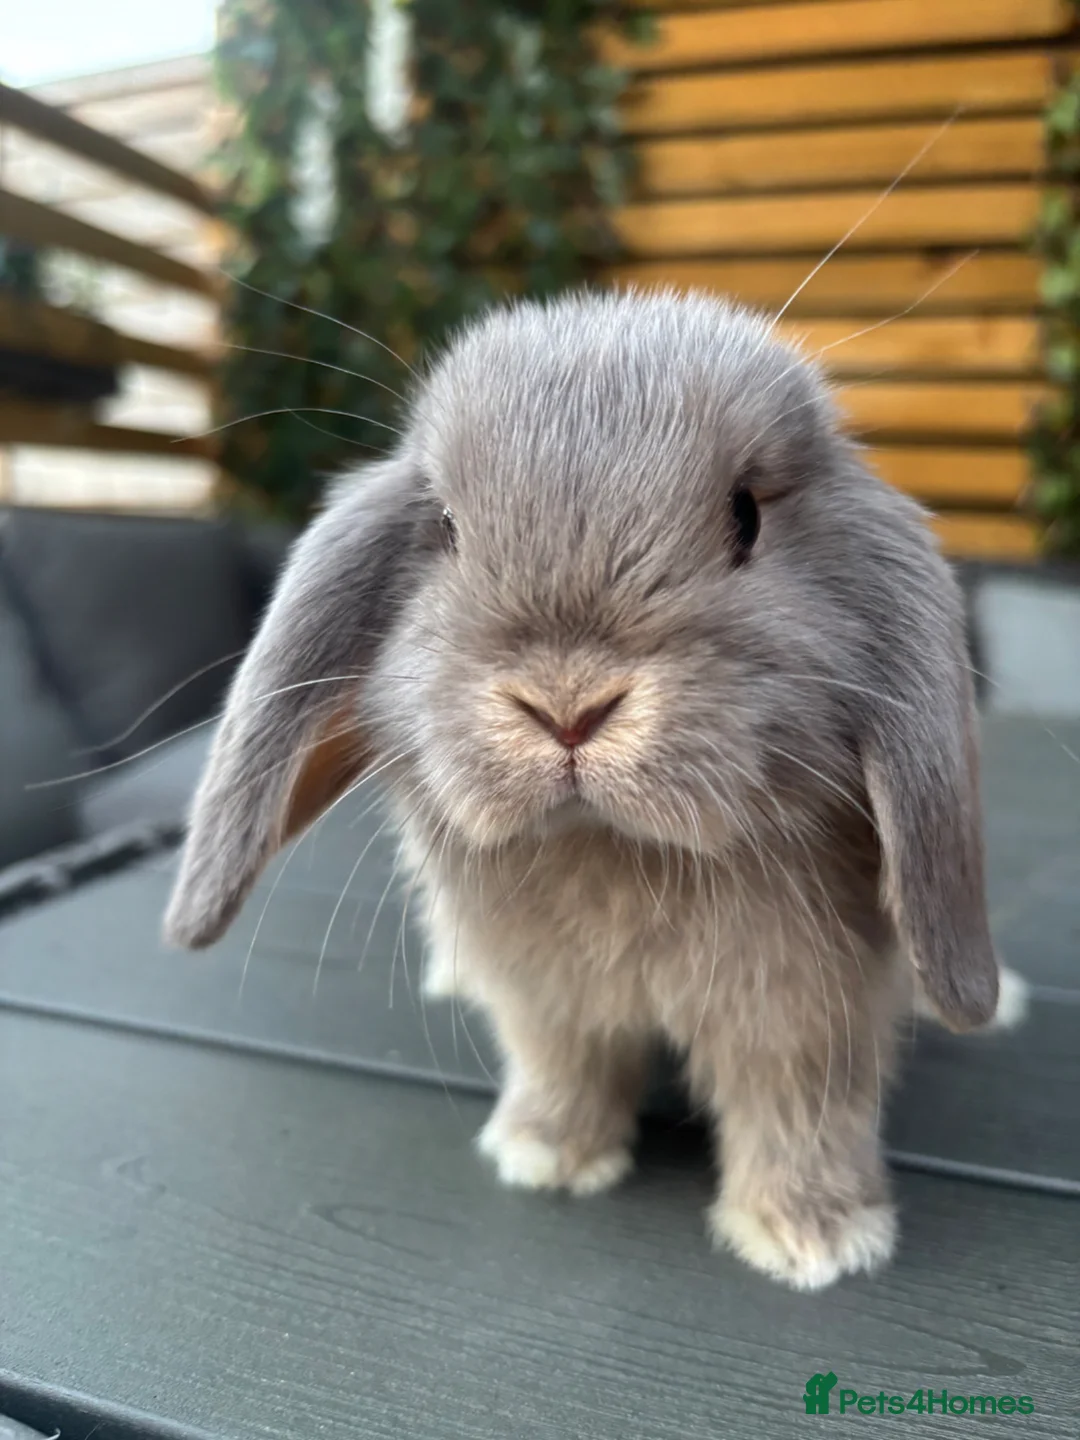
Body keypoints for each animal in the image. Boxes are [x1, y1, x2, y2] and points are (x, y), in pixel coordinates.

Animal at [164, 289, 1011, 1291]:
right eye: (445, 528)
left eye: (747, 517)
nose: (567, 707)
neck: (613, 847)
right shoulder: (546, 1004)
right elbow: (562, 1067)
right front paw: (545, 1156)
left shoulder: (806, 1016)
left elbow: (799, 1107)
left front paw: (816, 1237)